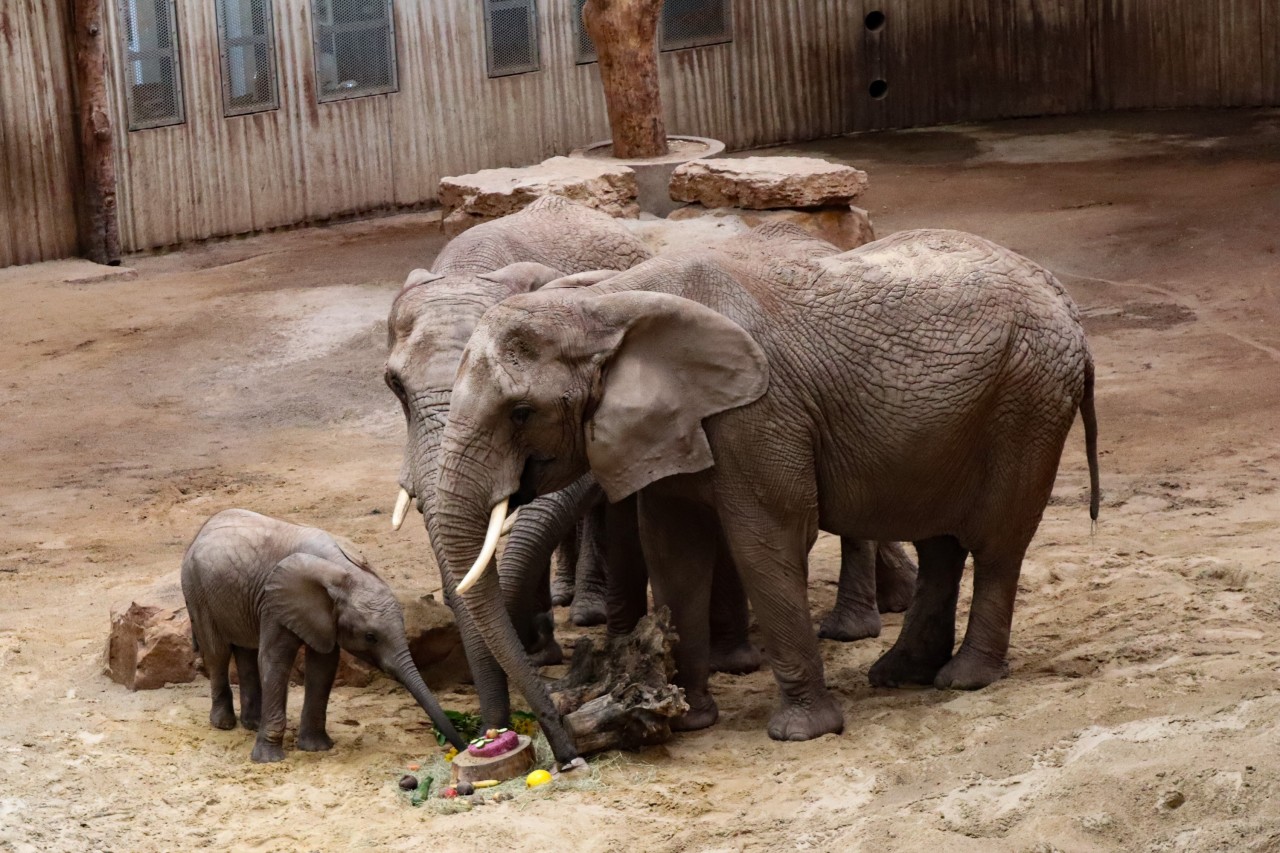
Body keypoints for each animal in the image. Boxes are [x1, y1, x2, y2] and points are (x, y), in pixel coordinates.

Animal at [177, 507, 463, 758]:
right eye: (370, 637)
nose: (463, 746)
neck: (347, 571)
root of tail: (200, 532)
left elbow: (323, 666)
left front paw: (316, 749)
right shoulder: (275, 600)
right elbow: (275, 661)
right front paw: (268, 758)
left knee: (245, 650)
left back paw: (252, 723)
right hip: (196, 588)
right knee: (217, 651)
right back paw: (224, 724)